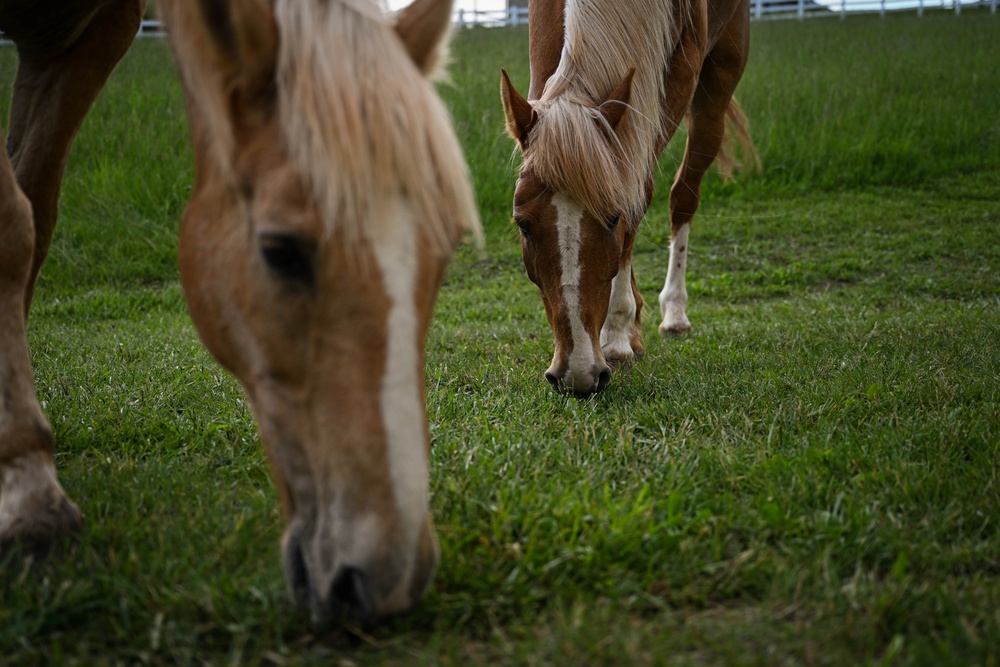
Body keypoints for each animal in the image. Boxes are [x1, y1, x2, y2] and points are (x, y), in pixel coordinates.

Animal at [0, 0, 480, 632]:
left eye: (443, 251)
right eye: (280, 249)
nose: (389, 577)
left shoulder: (88, 40)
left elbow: (36, 209)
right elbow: (14, 222)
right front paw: (27, 493)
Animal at [500, 0, 756, 394]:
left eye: (613, 218)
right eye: (522, 224)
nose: (577, 376)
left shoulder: (679, 76)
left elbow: (640, 192)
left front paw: (617, 335)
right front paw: (624, 328)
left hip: (717, 85)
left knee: (683, 195)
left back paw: (674, 312)